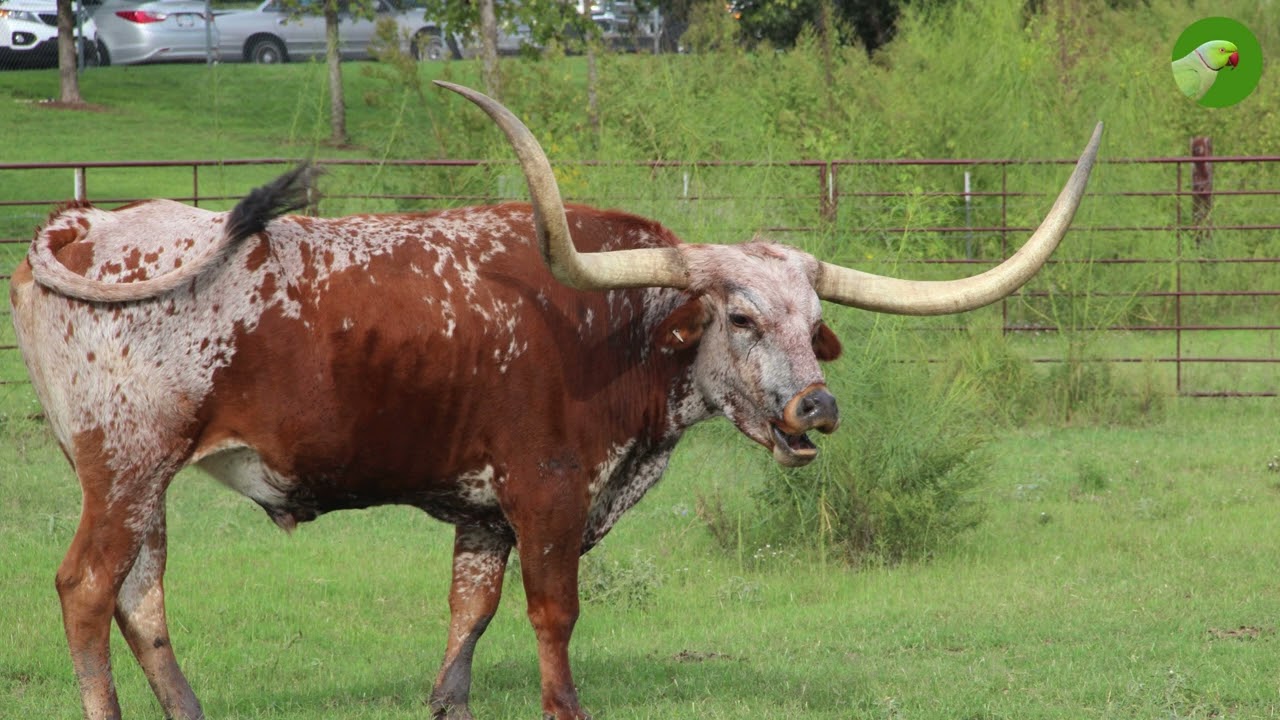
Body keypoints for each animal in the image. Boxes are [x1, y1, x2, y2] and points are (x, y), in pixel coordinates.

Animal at [9, 81, 1100, 720]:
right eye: (741, 318)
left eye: (811, 320)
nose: (815, 412)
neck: (609, 327)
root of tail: (80, 223)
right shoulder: (548, 490)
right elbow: (553, 613)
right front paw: (564, 704)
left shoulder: (482, 511)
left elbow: (469, 616)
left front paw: (447, 700)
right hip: (126, 465)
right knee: (86, 590)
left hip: (142, 479)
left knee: (142, 596)